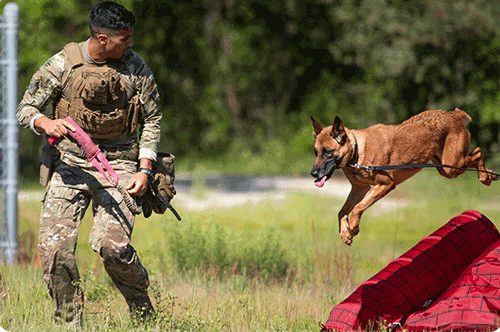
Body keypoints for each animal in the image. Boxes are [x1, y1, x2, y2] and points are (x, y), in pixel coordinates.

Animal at [310, 107, 498, 245]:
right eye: (316, 152)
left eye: (327, 152)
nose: (313, 174)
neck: (357, 152)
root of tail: (452, 114)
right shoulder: (359, 189)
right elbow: (342, 211)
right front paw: (345, 233)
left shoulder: (386, 184)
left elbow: (357, 208)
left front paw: (353, 228)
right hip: (444, 167)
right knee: (476, 154)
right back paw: (490, 175)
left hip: (452, 164)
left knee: (478, 152)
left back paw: (486, 177)